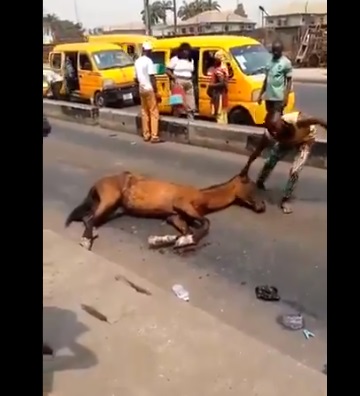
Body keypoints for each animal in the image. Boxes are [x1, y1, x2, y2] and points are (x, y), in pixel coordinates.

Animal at [66, 170, 266, 251]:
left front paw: (179, 241)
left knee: (87, 216)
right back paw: (86, 241)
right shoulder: (182, 205)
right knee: (90, 219)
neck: (203, 197)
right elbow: (206, 222)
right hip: (110, 200)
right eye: (252, 187)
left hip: (110, 205)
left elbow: (186, 230)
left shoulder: (175, 216)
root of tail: (96, 184)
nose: (262, 206)